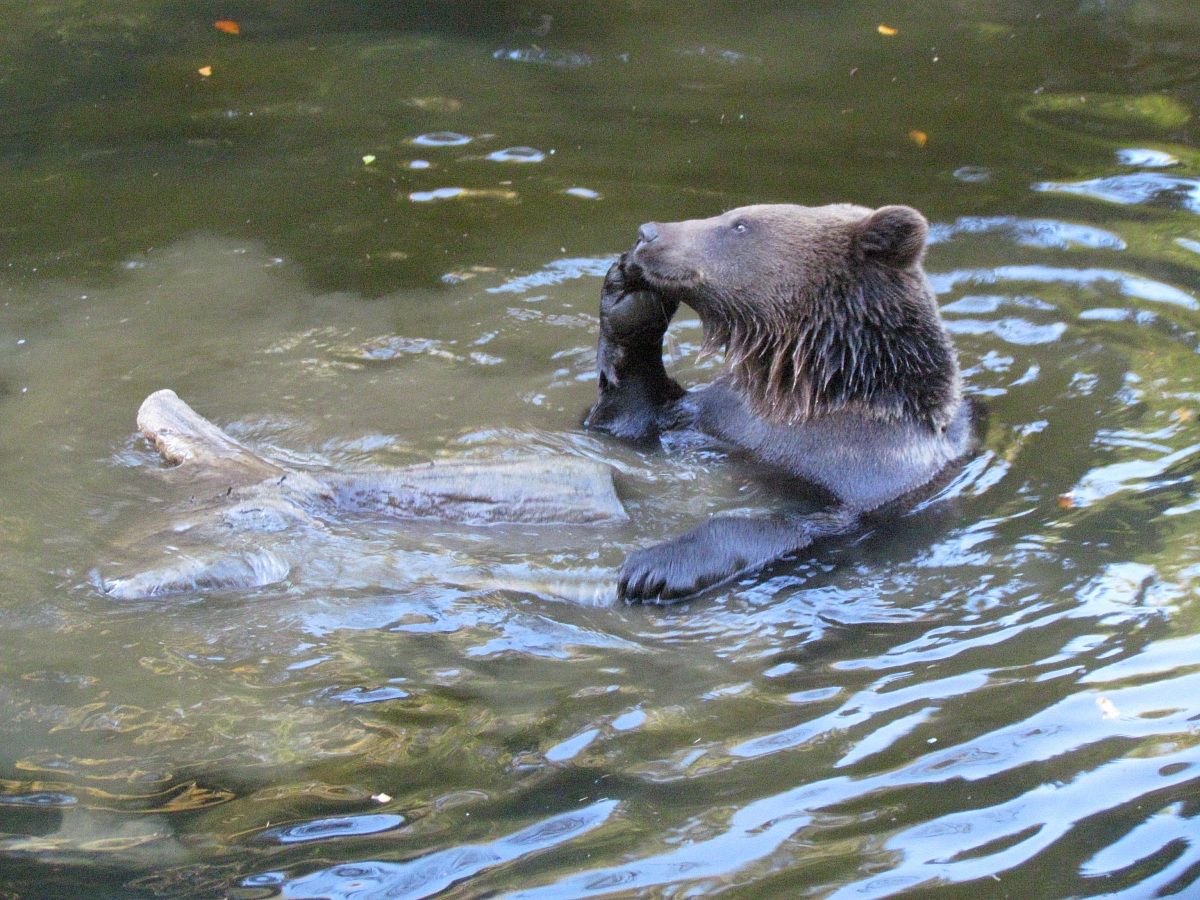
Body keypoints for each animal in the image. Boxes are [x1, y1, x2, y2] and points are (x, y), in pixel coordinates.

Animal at [584, 203, 976, 603]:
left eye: (740, 225)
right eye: (730, 215)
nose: (647, 233)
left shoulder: (872, 467)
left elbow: (801, 525)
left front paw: (653, 568)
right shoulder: (722, 416)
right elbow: (632, 417)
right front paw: (630, 298)